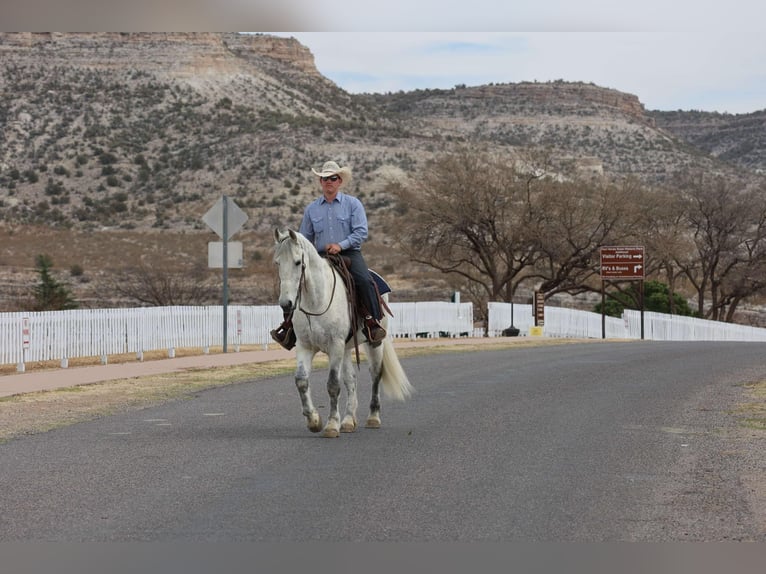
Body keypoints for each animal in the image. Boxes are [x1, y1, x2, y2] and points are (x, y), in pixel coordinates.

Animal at [273, 228, 413, 438]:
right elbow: (301, 381)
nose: (286, 304)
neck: (316, 301)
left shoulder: (335, 345)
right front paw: (314, 420)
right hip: (347, 348)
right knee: (350, 379)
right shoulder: (305, 346)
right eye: (278, 263)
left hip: (374, 343)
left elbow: (333, 385)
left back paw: (373, 417)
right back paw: (348, 420)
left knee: (375, 374)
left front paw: (331, 425)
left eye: (298, 262)